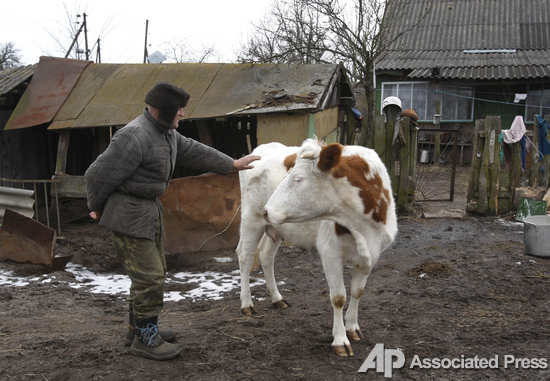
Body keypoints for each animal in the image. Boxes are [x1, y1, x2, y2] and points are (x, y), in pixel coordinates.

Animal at [236, 138, 396, 354]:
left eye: (298, 179)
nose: (267, 211)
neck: (364, 228)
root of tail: (262, 148)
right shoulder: (330, 251)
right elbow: (338, 297)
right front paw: (340, 340)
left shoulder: (373, 254)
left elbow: (357, 291)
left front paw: (352, 328)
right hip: (251, 219)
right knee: (245, 257)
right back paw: (246, 303)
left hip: (277, 229)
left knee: (266, 255)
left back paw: (277, 298)